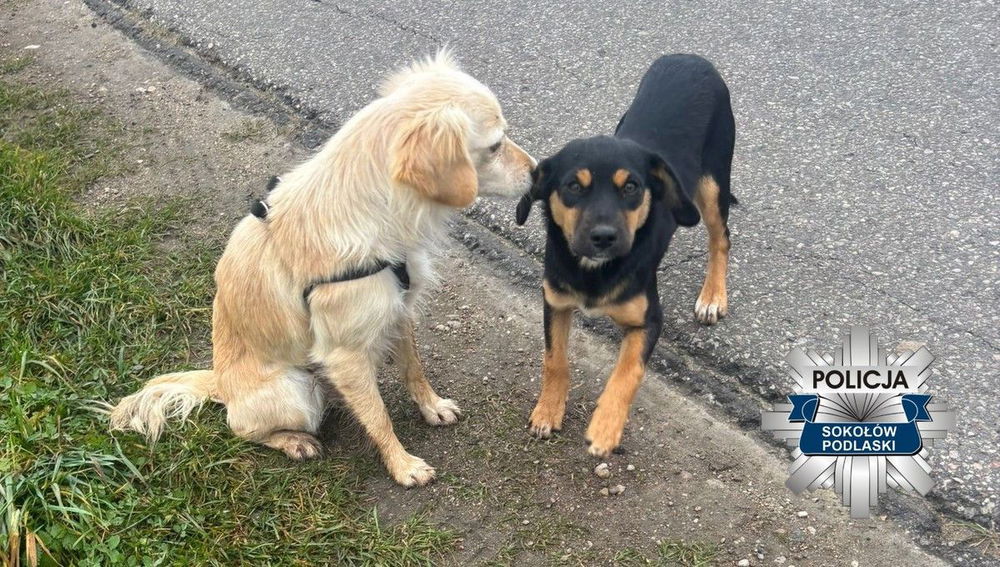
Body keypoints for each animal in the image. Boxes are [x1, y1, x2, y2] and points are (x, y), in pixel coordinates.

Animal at [109, 51, 536, 487]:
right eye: (495, 145)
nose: (538, 170)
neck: (370, 209)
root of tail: (221, 382)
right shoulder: (344, 355)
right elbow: (379, 417)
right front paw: (402, 465)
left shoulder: (399, 310)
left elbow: (414, 369)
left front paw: (431, 407)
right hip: (297, 389)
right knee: (241, 427)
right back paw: (294, 441)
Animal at [515, 54, 735, 456]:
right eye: (573, 186)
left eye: (631, 186)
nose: (604, 237)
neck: (594, 271)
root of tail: (690, 58)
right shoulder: (554, 301)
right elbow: (554, 358)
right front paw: (548, 410)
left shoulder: (648, 320)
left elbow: (627, 372)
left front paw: (605, 427)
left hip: (713, 185)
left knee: (720, 239)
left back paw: (713, 296)